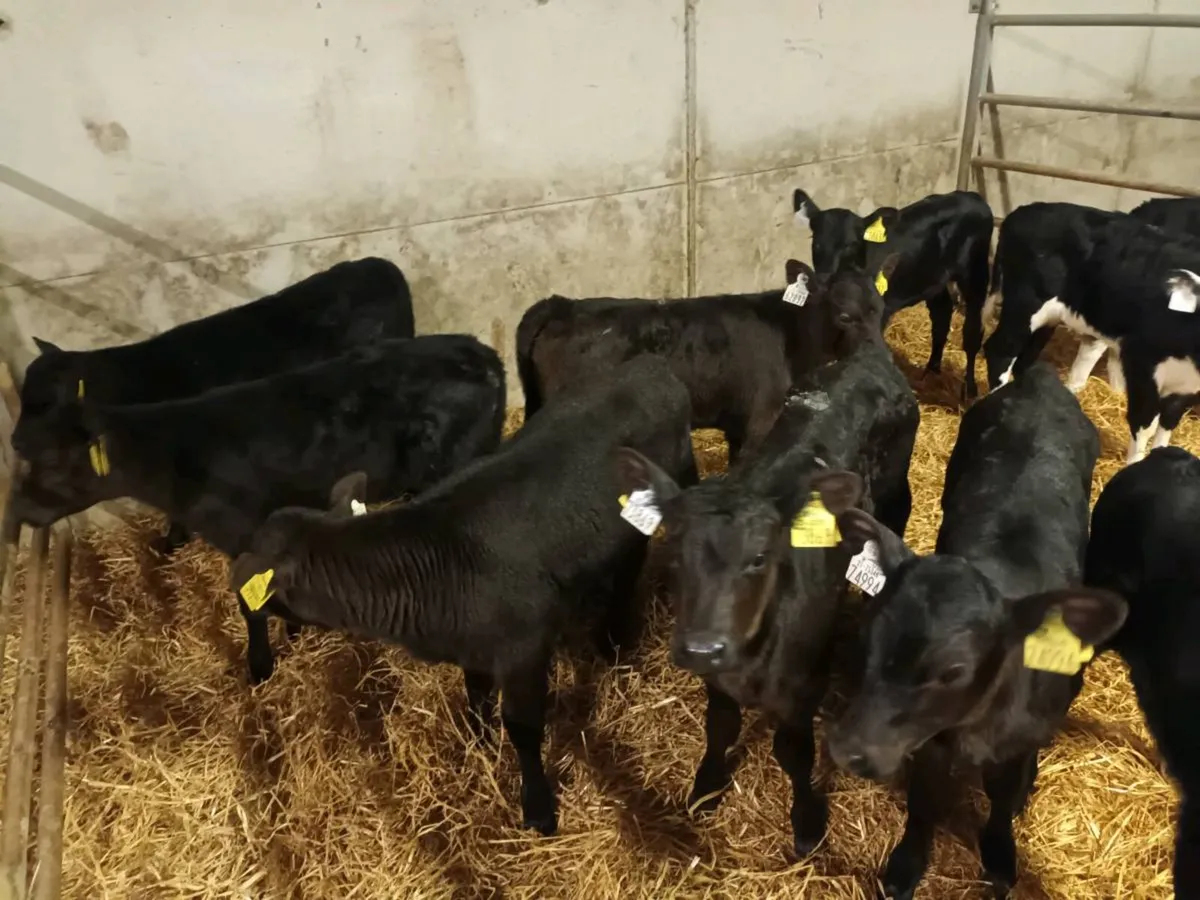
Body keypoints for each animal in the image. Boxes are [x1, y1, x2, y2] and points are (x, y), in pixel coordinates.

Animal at [8, 335, 504, 685]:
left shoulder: (246, 534)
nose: (17, 509)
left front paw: (262, 665)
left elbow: (252, 607)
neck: (177, 456)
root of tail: (480, 354)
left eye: (52, 462)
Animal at [225, 355, 698, 834]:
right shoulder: (473, 644)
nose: (245, 605)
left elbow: (523, 727)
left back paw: (615, 643)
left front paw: (538, 807)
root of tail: (650, 365)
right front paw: (480, 745)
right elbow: (476, 696)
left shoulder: (524, 650)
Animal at [612, 332, 919, 862]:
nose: (701, 647)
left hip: (897, 491)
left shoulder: (805, 685)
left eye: (759, 557)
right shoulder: (717, 678)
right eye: (673, 546)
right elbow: (720, 727)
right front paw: (707, 786)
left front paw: (807, 822)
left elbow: (793, 754)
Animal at [791, 188, 993, 399]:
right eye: (816, 242)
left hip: (975, 274)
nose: (825, 277)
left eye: (851, 244)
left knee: (973, 331)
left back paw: (969, 389)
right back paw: (931, 372)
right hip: (933, 280)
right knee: (942, 317)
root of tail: (970, 195)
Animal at [823, 362, 1127, 900]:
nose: (848, 749)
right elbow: (924, 803)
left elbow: (1003, 800)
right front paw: (907, 865)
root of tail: (1040, 379)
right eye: (868, 640)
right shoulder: (930, 742)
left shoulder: (1018, 740)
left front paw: (1002, 856)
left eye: (953, 671)